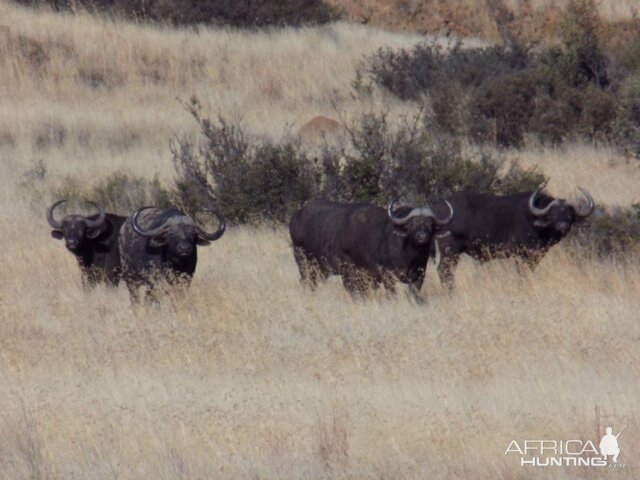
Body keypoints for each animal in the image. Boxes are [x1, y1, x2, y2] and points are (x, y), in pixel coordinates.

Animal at [290, 197, 456, 294]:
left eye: (430, 224)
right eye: (412, 224)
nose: (422, 237)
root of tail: (296, 216)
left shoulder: (418, 278)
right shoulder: (386, 277)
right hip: (303, 262)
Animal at [436, 186, 596, 286]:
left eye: (569, 214)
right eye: (552, 214)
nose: (562, 226)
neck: (535, 223)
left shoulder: (535, 257)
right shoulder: (520, 256)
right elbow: (522, 274)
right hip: (450, 251)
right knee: (444, 271)